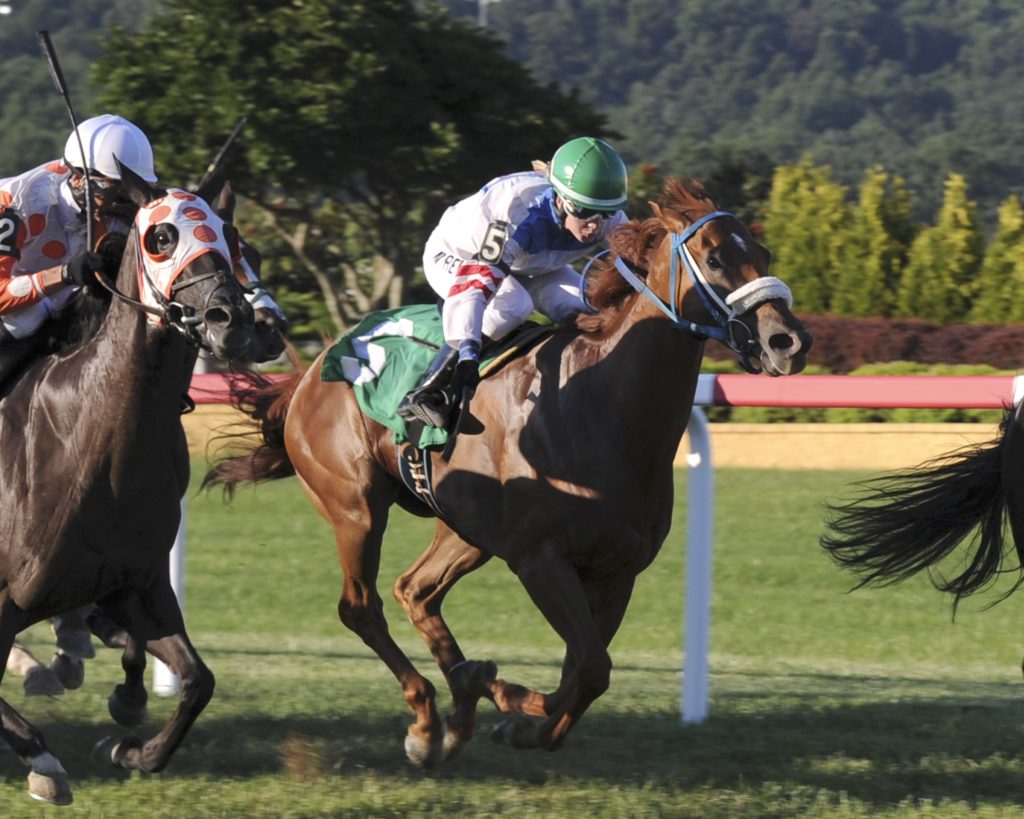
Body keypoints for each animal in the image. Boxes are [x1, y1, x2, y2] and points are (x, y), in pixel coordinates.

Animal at [0, 162, 256, 802]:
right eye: (161, 236)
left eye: (231, 235)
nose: (233, 321)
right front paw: (44, 761)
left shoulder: (134, 587)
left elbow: (198, 680)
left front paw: (131, 746)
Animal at [209, 179, 815, 769]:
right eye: (714, 259)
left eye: (762, 252)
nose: (788, 341)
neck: (602, 405)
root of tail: (314, 369)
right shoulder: (538, 558)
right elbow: (588, 666)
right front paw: (499, 696)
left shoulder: (617, 569)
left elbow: (585, 669)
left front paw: (516, 720)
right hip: (354, 507)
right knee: (361, 606)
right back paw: (429, 720)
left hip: (465, 529)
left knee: (416, 591)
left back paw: (450, 717)